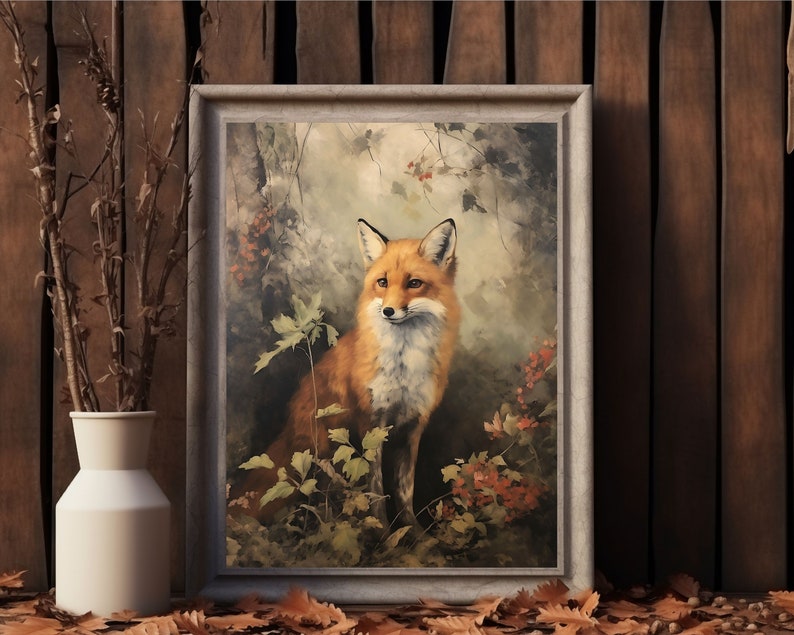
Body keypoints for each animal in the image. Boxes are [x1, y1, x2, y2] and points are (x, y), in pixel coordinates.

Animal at [236, 217, 461, 529]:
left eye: (414, 283)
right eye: (383, 282)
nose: (389, 311)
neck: (403, 365)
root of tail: (289, 429)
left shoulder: (413, 427)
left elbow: (405, 493)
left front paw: (413, 534)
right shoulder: (371, 424)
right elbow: (375, 490)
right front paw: (383, 533)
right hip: (323, 453)